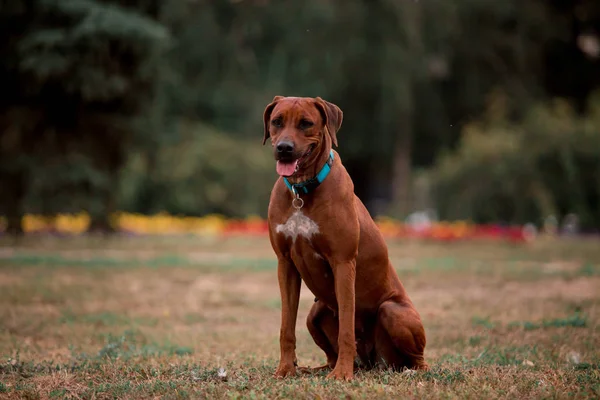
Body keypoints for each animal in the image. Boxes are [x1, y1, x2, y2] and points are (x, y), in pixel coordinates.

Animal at [262, 95, 426, 380]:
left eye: (306, 123)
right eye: (277, 121)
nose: (284, 148)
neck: (303, 189)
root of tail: (373, 361)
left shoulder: (343, 262)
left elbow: (347, 328)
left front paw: (342, 375)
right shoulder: (285, 264)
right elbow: (286, 326)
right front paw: (285, 369)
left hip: (393, 311)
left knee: (417, 359)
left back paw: (409, 371)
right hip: (315, 313)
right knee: (328, 351)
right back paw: (314, 368)